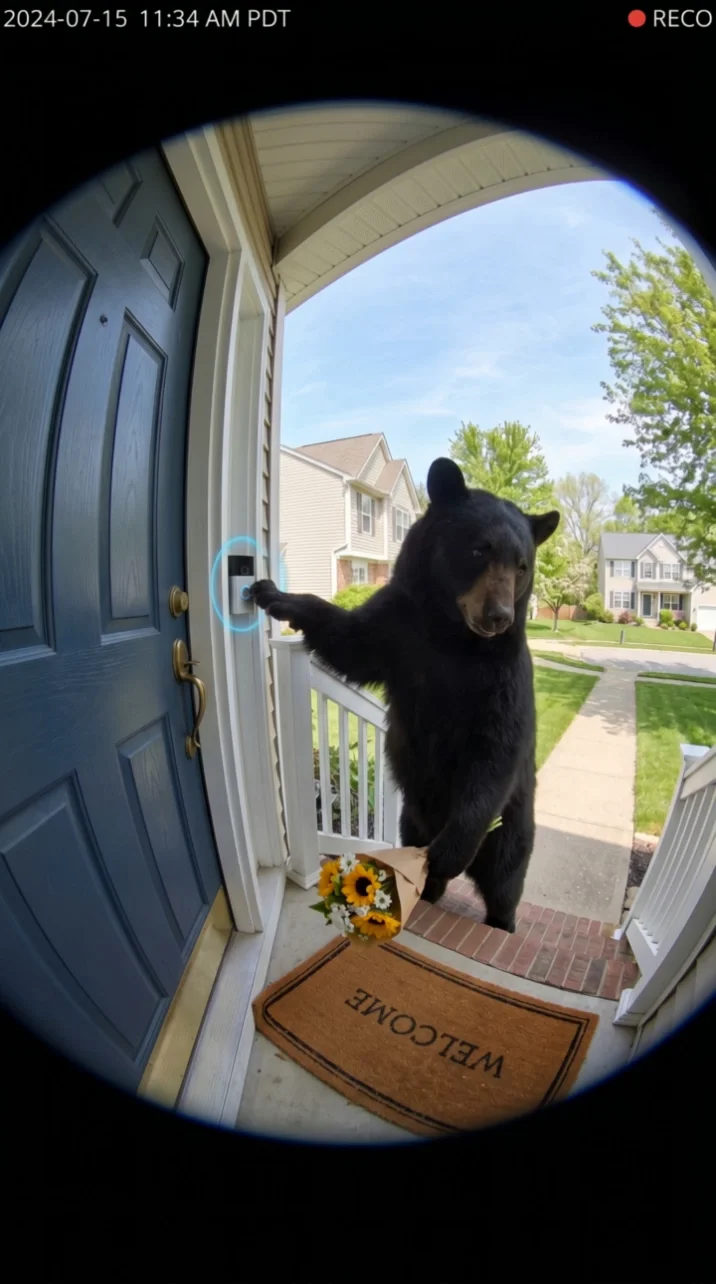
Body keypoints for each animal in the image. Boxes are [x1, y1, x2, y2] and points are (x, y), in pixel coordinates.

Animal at [251, 457, 560, 934]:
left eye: (522, 566)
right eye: (479, 551)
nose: (500, 616)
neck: (449, 632)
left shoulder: (502, 675)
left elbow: (497, 746)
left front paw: (448, 851)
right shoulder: (397, 627)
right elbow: (349, 640)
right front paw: (272, 594)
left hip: (511, 828)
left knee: (505, 881)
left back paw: (498, 919)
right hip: (410, 818)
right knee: (432, 871)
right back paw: (427, 891)